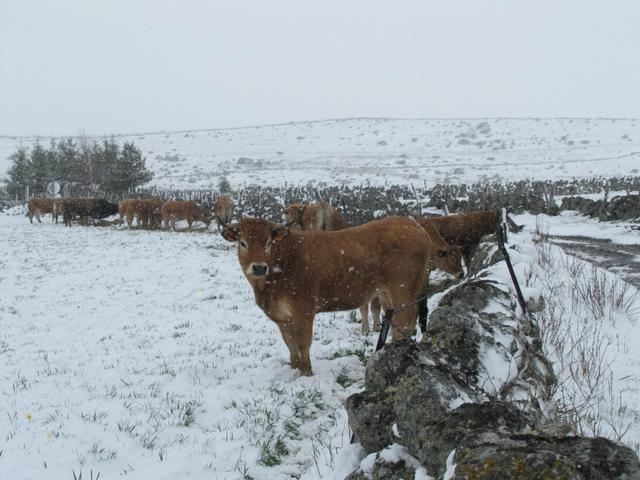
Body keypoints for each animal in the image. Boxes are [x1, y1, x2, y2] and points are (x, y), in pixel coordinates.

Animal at [221, 216, 462, 376]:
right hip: (389, 294)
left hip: (403, 290)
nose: (258, 267)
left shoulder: (303, 310)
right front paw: (294, 370)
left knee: (405, 324)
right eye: (242, 242)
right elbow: (290, 345)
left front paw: (306, 374)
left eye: (268, 243)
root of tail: (411, 223)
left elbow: (303, 343)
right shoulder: (281, 316)